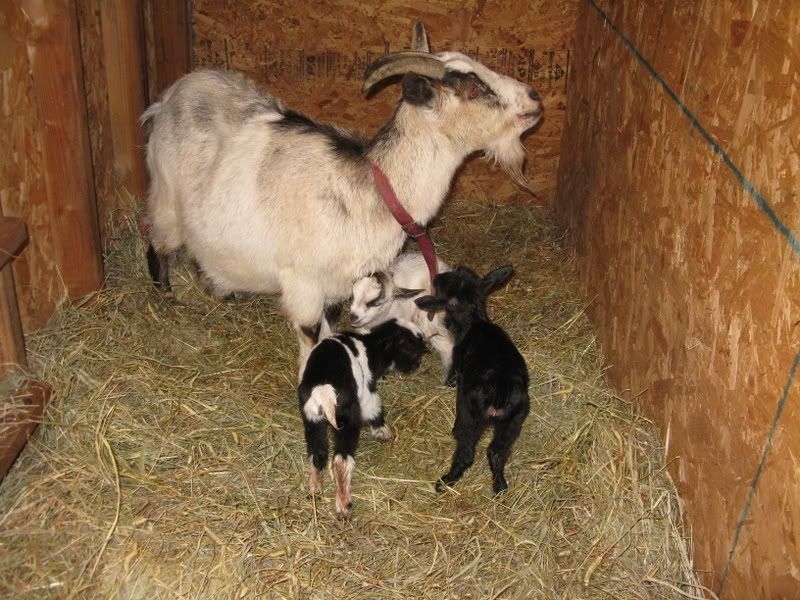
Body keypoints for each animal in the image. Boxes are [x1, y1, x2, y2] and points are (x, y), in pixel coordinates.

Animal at [298, 319, 427, 519]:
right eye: (411, 348)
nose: (417, 365)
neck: (370, 345)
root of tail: (324, 389)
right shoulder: (366, 392)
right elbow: (374, 408)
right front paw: (383, 431)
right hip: (346, 419)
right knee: (341, 460)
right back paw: (344, 506)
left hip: (312, 420)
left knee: (317, 454)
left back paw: (315, 489)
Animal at [415, 265, 530, 494]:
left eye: (445, 285)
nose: (437, 277)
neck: (475, 321)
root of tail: (499, 390)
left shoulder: (459, 367)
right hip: (514, 419)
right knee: (497, 451)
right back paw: (500, 486)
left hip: (472, 413)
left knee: (467, 452)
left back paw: (445, 481)